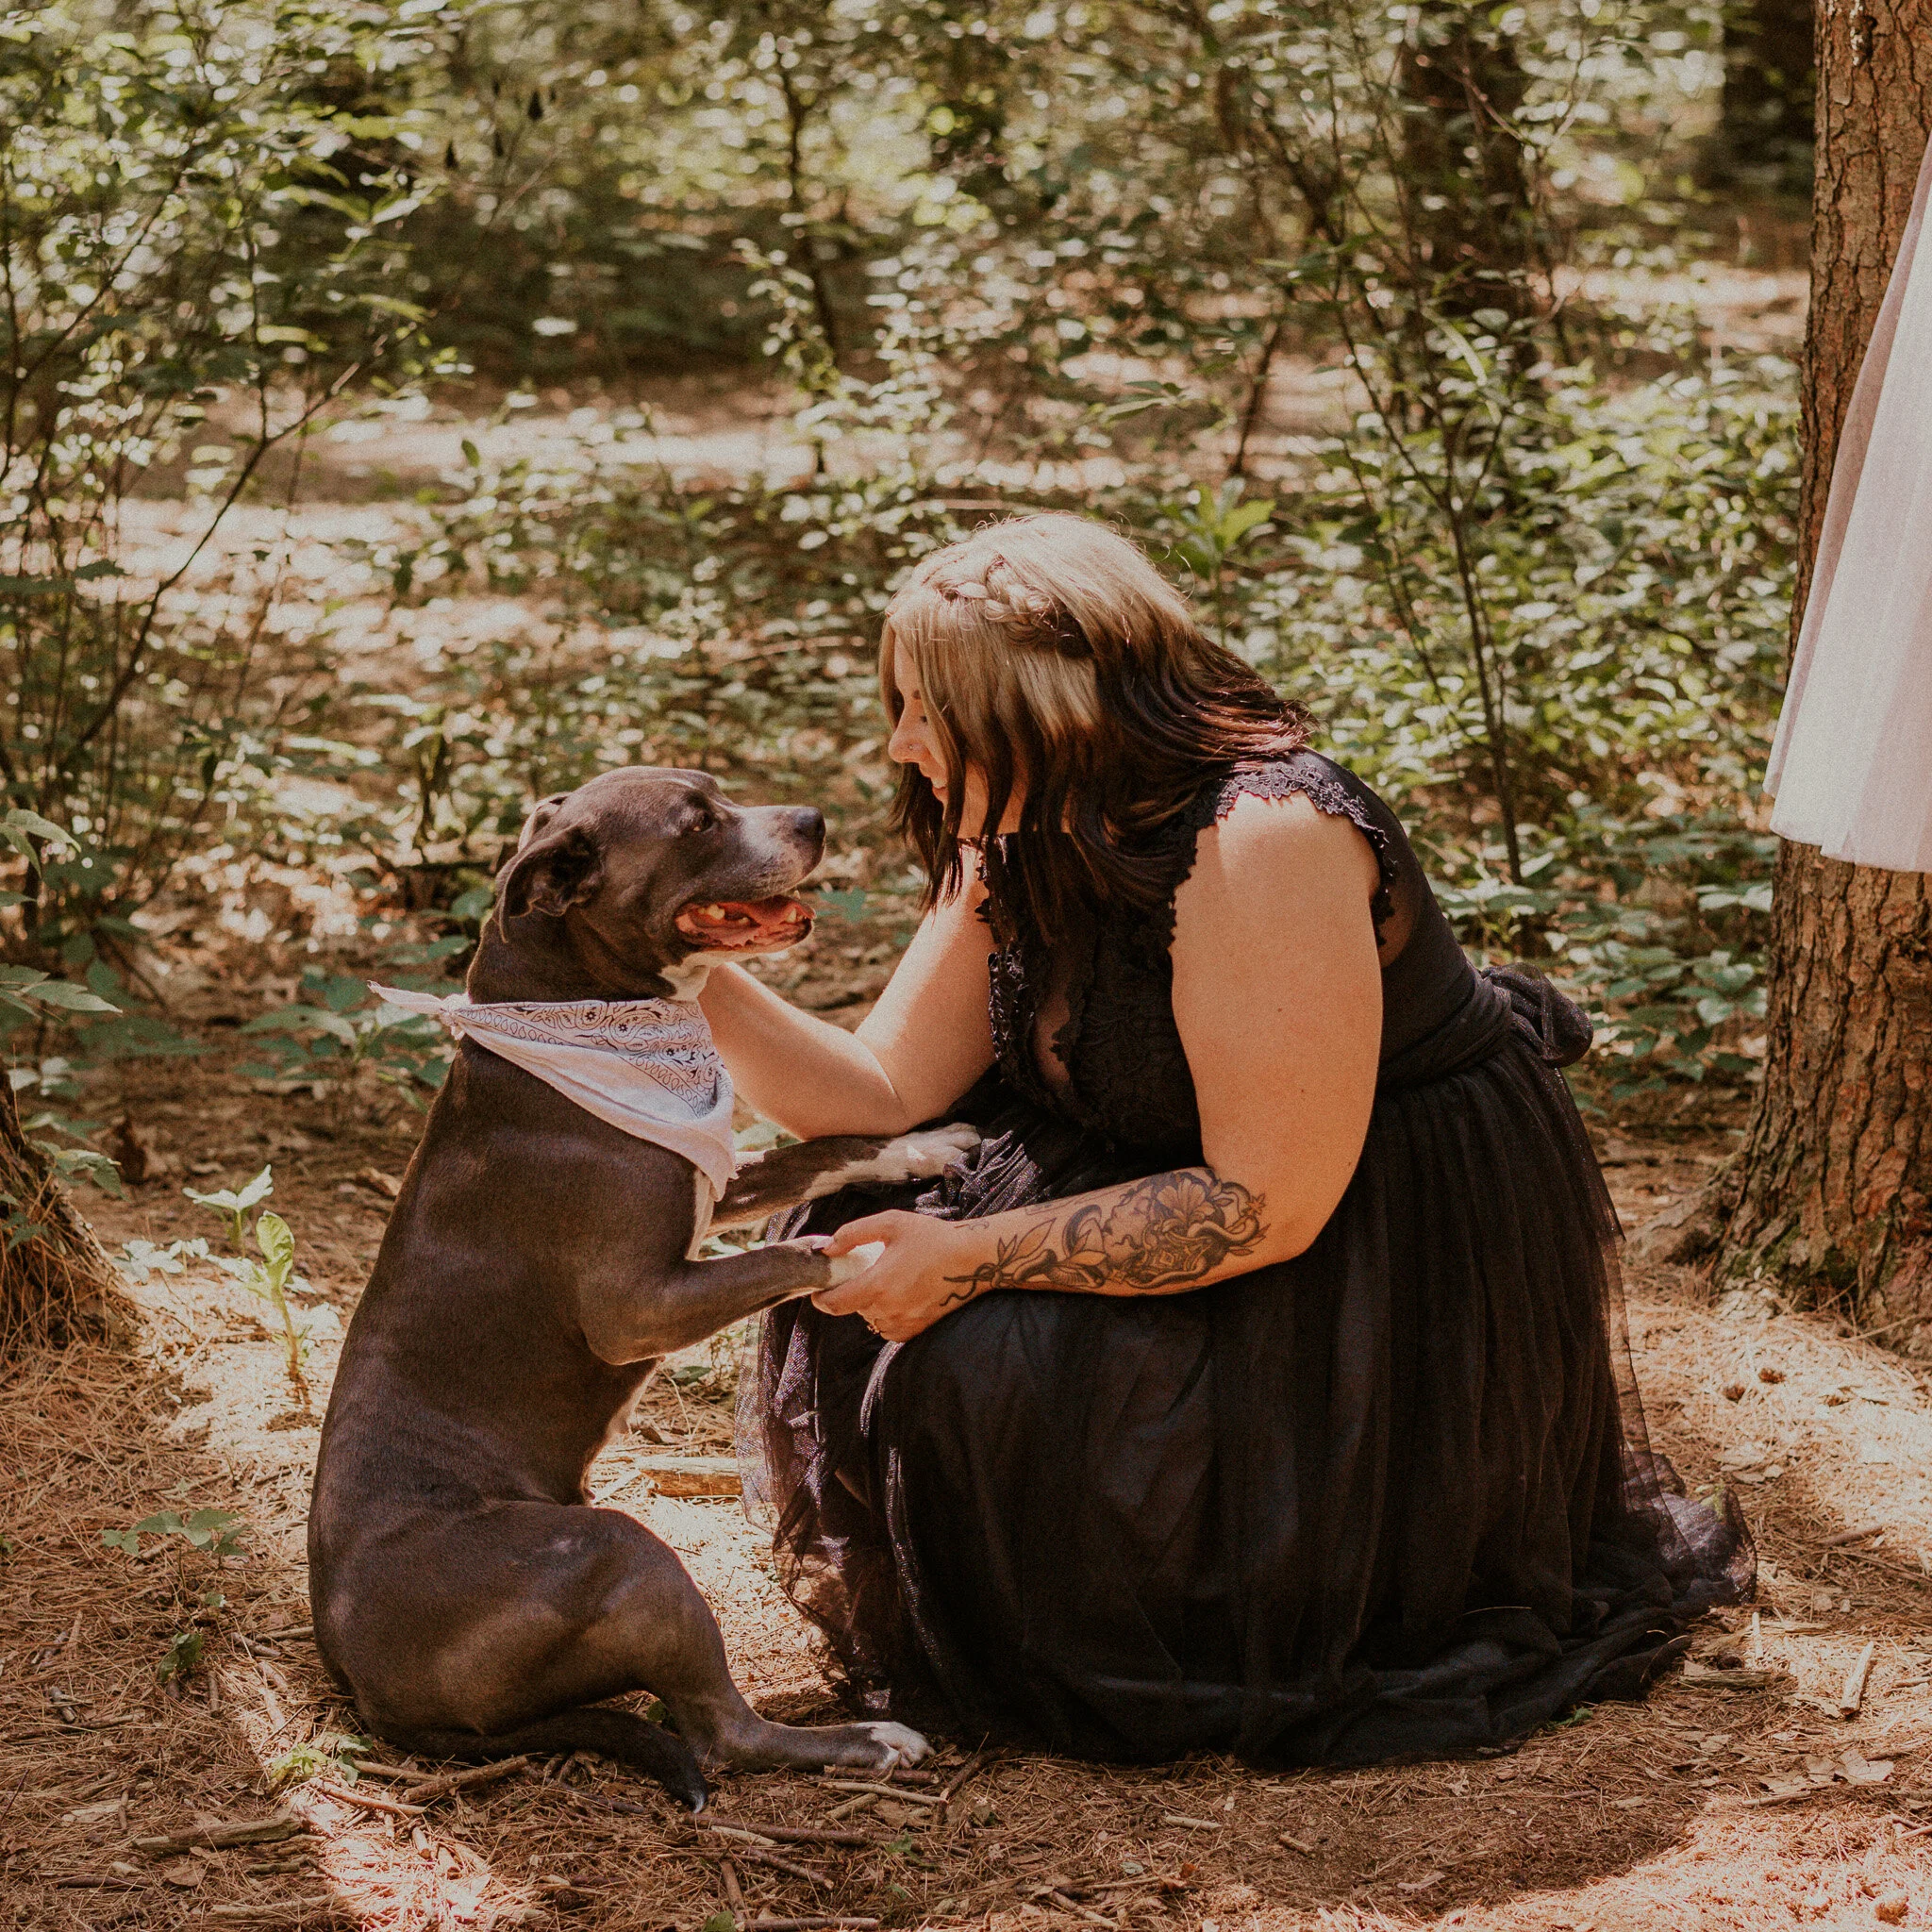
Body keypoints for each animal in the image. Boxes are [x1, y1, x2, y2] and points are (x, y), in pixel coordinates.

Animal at [316, 769, 981, 1807]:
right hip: (622, 1553)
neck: (580, 1014)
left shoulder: (708, 1188)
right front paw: (885, 1259)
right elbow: (794, 1255)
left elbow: (814, 1152)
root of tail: (362, 1684)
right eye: (696, 822)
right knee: (722, 1731)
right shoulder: (640, 1304)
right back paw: (871, 1739)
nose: (814, 819)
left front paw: (915, 1145)